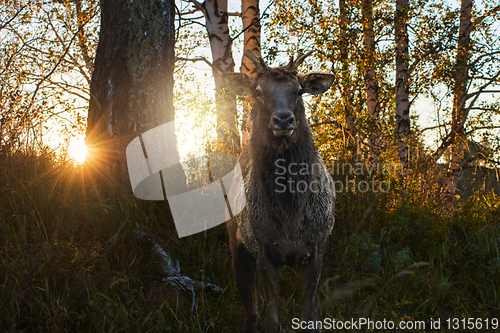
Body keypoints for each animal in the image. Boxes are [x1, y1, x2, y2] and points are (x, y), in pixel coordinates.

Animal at [223, 50, 336, 332]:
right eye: (258, 91)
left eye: (299, 90)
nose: (284, 118)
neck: (290, 216)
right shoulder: (265, 249)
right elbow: (272, 320)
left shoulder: (315, 247)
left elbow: (309, 316)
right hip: (236, 242)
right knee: (252, 309)